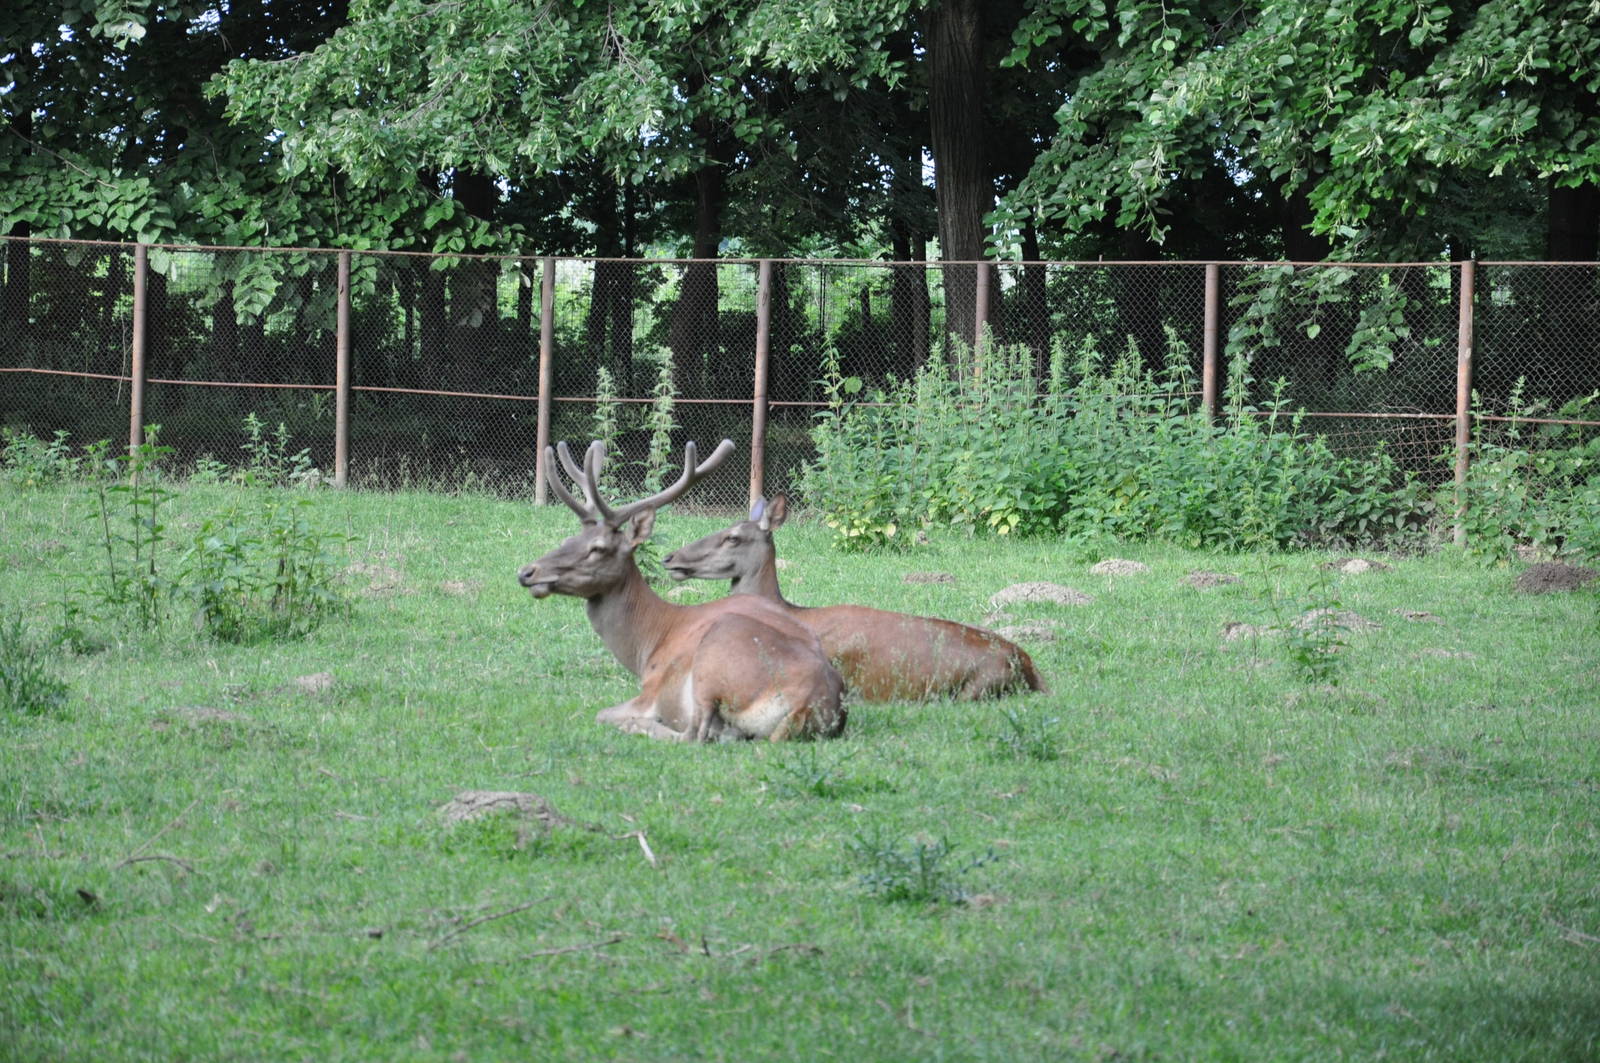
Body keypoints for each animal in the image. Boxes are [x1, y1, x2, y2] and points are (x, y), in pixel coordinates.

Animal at [517, 441, 846, 742]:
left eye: (597, 548)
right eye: (568, 540)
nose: (527, 572)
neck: (647, 646)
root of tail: (808, 703)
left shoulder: (651, 689)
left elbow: (602, 713)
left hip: (713, 660)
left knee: (695, 735)